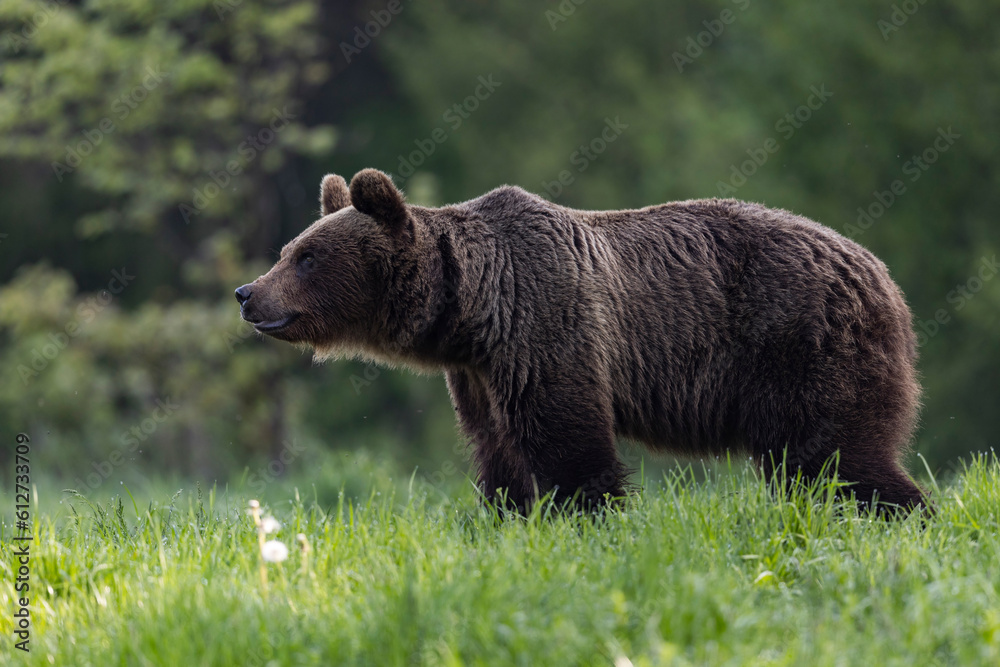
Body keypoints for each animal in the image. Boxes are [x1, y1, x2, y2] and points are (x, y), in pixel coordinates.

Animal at [232, 171, 920, 512]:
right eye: (290, 249)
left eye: (307, 258)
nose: (247, 293)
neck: (473, 309)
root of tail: (881, 274)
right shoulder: (481, 374)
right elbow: (497, 452)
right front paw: (504, 517)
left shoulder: (547, 327)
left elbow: (570, 442)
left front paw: (587, 517)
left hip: (803, 344)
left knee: (835, 457)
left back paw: (898, 516)